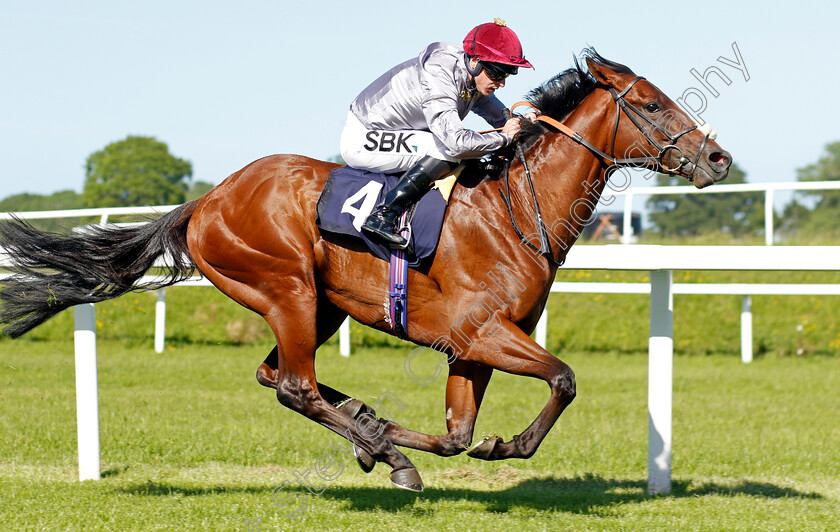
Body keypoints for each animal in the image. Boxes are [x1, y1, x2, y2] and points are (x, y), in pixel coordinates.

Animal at [0, 48, 728, 490]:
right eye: (653, 104)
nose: (718, 159)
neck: (512, 211)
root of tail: (206, 200)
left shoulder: (471, 347)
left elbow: (458, 435)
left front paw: (388, 433)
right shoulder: (482, 332)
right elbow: (563, 380)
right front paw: (491, 445)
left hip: (318, 304)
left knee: (277, 376)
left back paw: (372, 434)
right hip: (287, 287)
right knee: (295, 386)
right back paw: (382, 449)